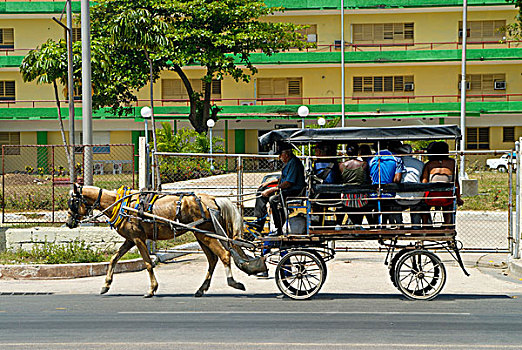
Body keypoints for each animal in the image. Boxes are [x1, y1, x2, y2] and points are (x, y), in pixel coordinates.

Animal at [65, 183, 246, 298]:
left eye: (73, 202)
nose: (68, 223)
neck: (122, 205)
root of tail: (213, 199)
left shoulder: (138, 238)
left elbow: (147, 263)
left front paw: (152, 289)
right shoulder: (130, 240)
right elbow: (113, 259)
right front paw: (106, 285)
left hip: (205, 234)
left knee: (224, 255)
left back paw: (233, 282)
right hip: (201, 235)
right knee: (212, 259)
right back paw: (202, 289)